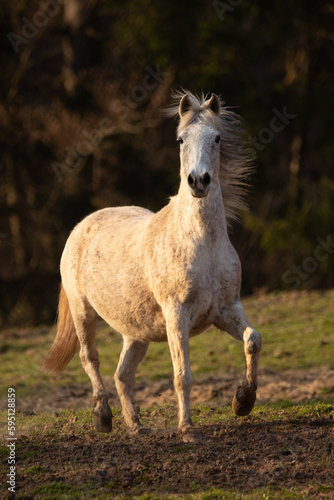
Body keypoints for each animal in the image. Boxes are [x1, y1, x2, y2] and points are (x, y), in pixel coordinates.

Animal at [43, 91, 264, 442]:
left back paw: (136, 426)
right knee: (90, 358)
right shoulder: (177, 314)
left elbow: (253, 340)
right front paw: (187, 430)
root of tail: (83, 225)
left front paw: (243, 401)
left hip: (136, 333)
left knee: (123, 374)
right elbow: (182, 375)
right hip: (82, 312)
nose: (199, 181)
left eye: (216, 138)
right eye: (181, 139)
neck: (202, 244)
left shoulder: (226, 308)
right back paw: (102, 418)